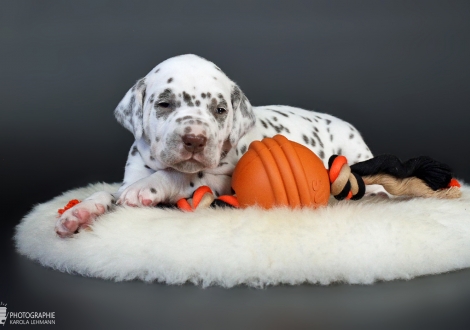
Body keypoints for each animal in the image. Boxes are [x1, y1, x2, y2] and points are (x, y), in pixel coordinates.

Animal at [56, 54, 374, 237]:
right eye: (164, 104)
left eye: (220, 110)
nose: (195, 139)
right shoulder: (125, 180)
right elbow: (105, 193)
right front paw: (78, 213)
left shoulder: (221, 180)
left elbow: (180, 176)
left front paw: (147, 187)